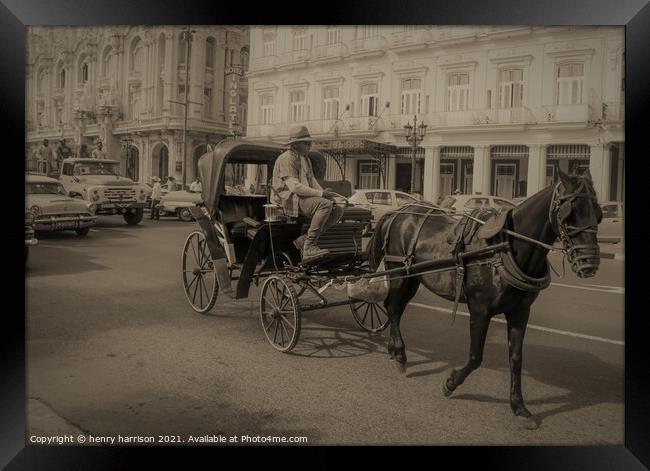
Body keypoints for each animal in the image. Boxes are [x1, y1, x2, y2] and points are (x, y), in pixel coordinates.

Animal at [368, 171, 600, 432]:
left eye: (598, 212)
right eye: (569, 211)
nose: (590, 263)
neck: (504, 249)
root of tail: (398, 211)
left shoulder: (520, 312)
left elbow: (516, 359)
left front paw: (519, 407)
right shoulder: (480, 310)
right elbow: (475, 356)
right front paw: (450, 383)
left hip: (413, 278)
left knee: (395, 309)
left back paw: (394, 351)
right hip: (399, 273)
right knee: (392, 307)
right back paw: (399, 354)